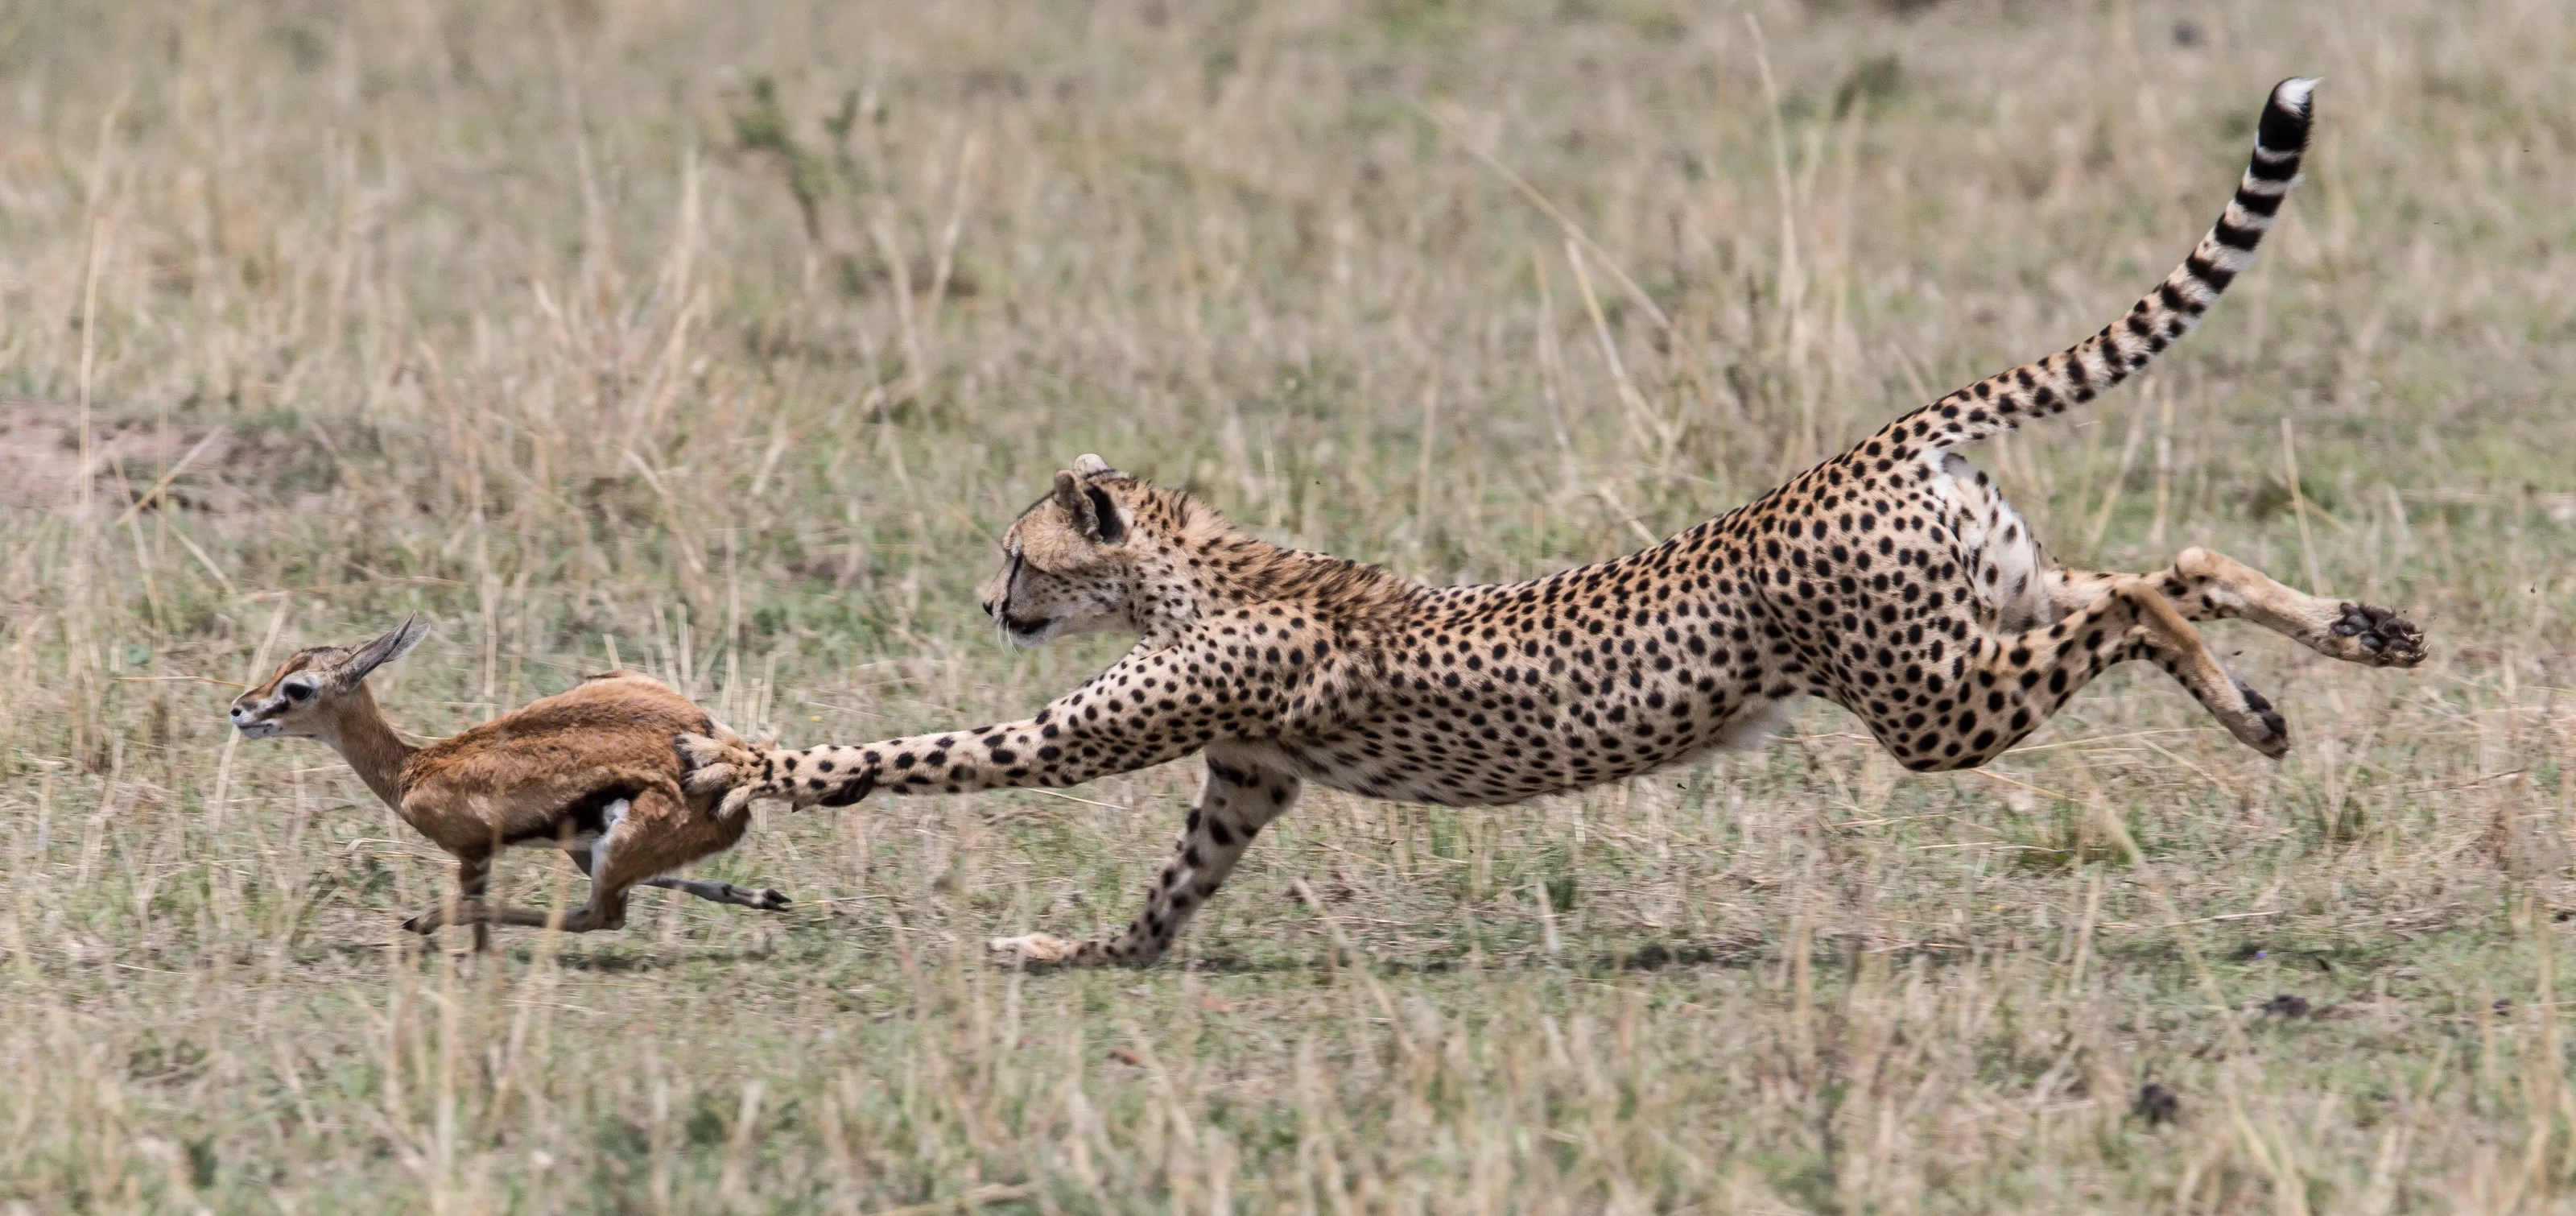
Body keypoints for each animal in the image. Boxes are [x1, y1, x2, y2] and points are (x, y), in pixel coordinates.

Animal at [682, 78, 2423, 967]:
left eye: (1015, 556)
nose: (993, 606)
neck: (1194, 559)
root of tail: (1860, 447)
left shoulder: (1117, 727)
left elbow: (931, 751)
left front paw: (751, 763)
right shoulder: (1247, 773)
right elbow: (1179, 880)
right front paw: (1093, 955)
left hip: (1931, 698)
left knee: (2143, 598)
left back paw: (2260, 701)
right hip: (1979, 617)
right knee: (2171, 560)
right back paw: (2343, 644)